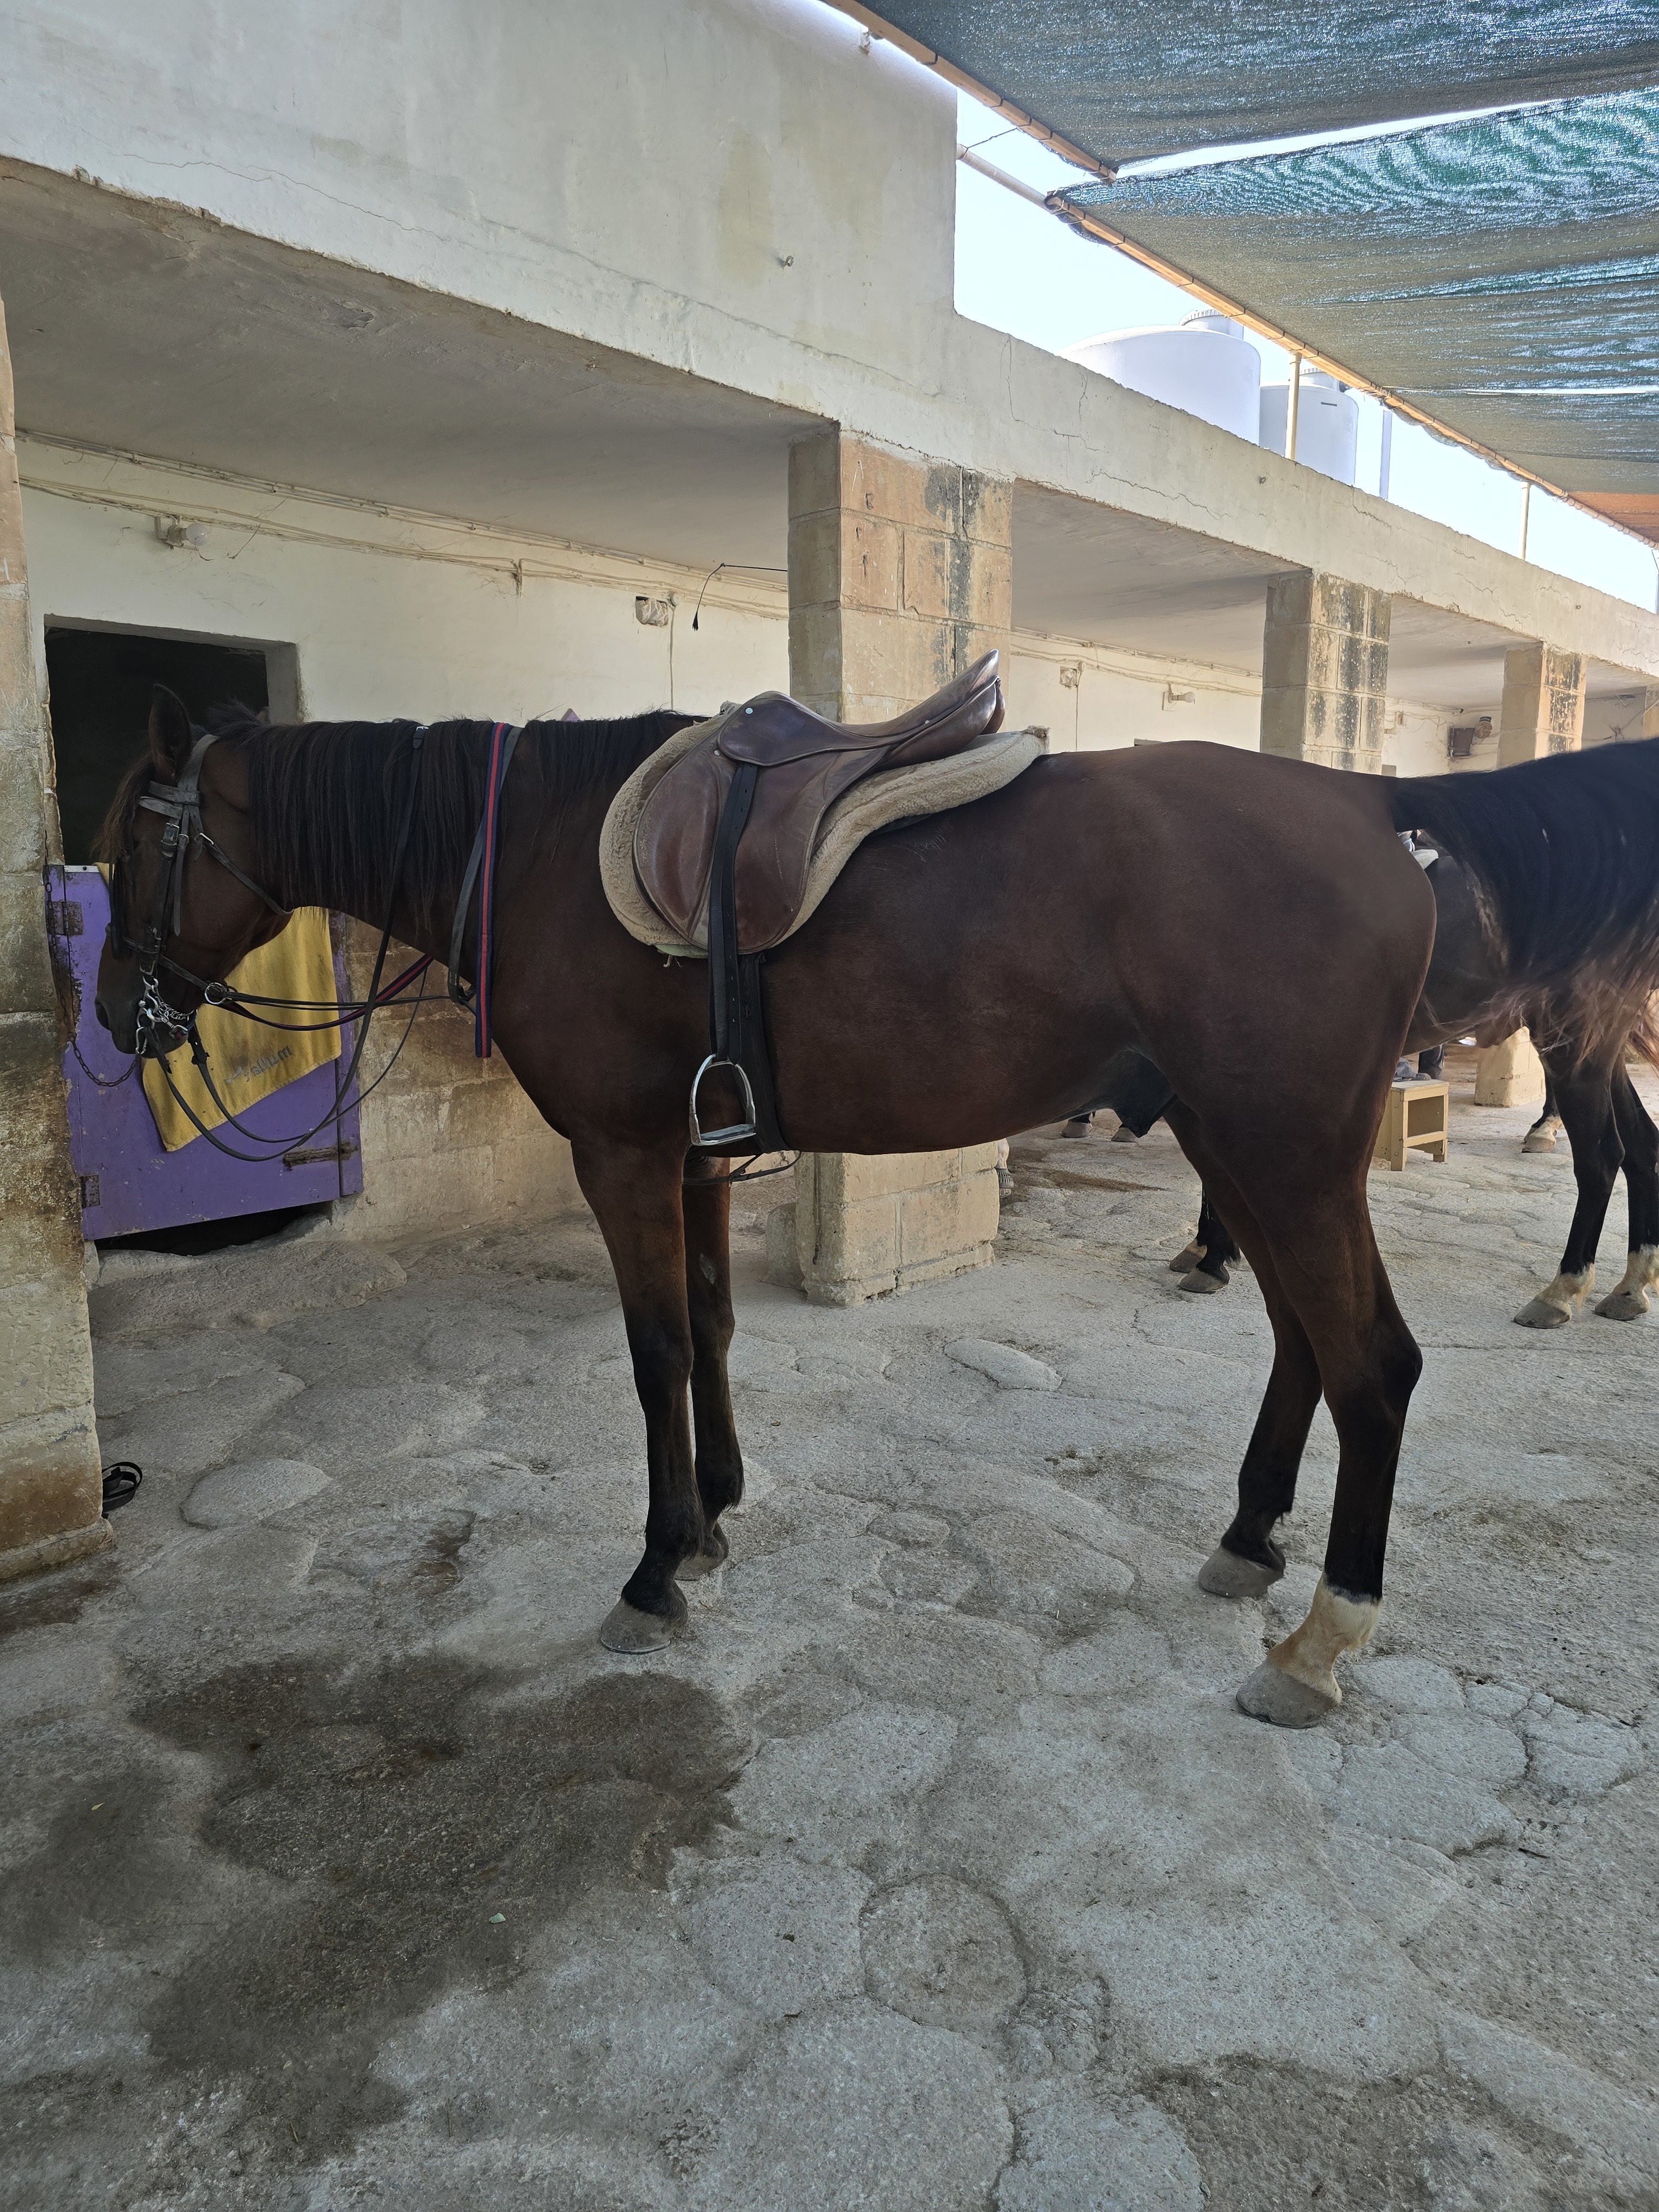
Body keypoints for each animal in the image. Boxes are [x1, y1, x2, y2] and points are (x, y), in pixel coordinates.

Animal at [94, 686, 1659, 1727]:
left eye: (129, 845)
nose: (115, 1013)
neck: (540, 849)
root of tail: (1367, 799)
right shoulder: (693, 1154)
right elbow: (711, 1327)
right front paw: (716, 1509)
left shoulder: (620, 1153)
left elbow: (653, 1348)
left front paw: (656, 1563)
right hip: (1253, 1150)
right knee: (1303, 1342)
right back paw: (1248, 1537)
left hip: (1285, 1153)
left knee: (1374, 1363)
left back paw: (1325, 1634)